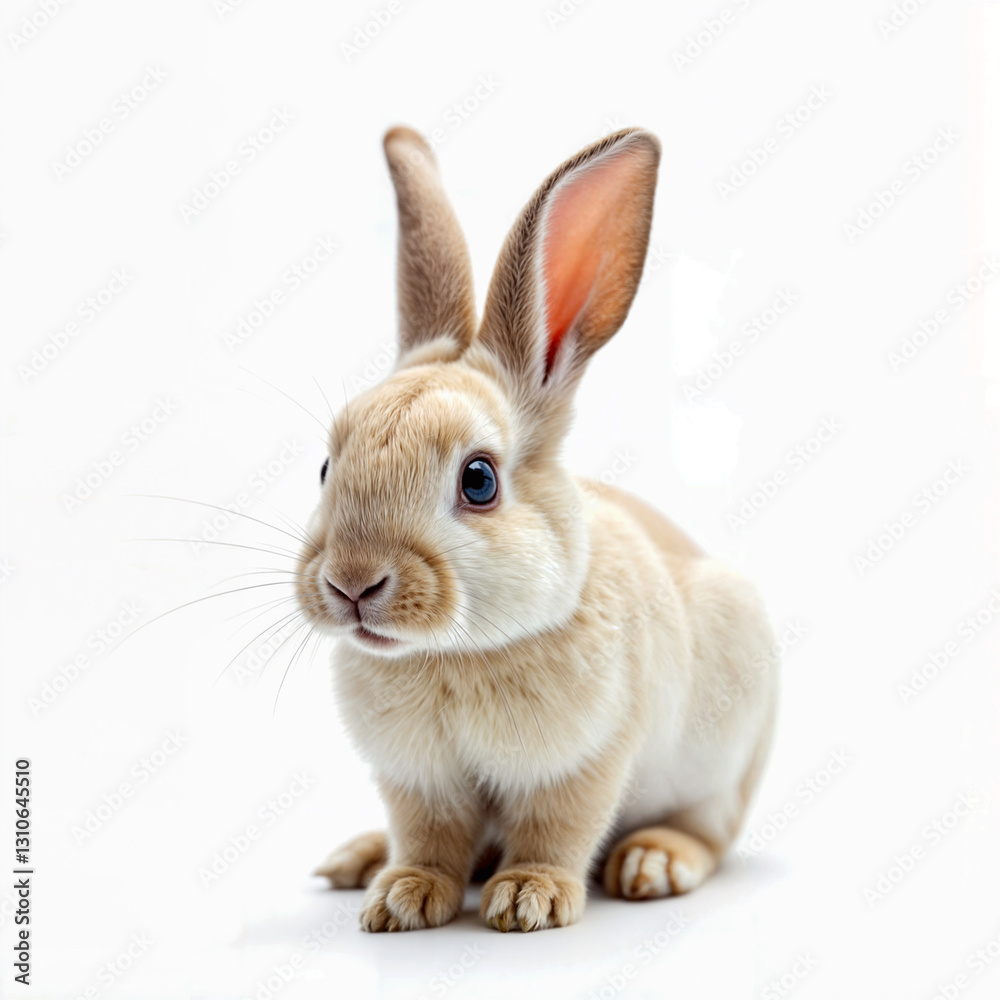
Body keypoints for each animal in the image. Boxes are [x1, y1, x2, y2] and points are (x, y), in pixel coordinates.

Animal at [299, 124, 779, 933]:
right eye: (327, 468)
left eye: (479, 480)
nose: (351, 583)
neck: (457, 654)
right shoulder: (417, 780)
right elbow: (427, 838)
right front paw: (402, 898)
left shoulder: (586, 759)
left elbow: (559, 828)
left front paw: (530, 899)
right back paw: (358, 859)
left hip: (722, 757)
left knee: (708, 832)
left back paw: (653, 863)